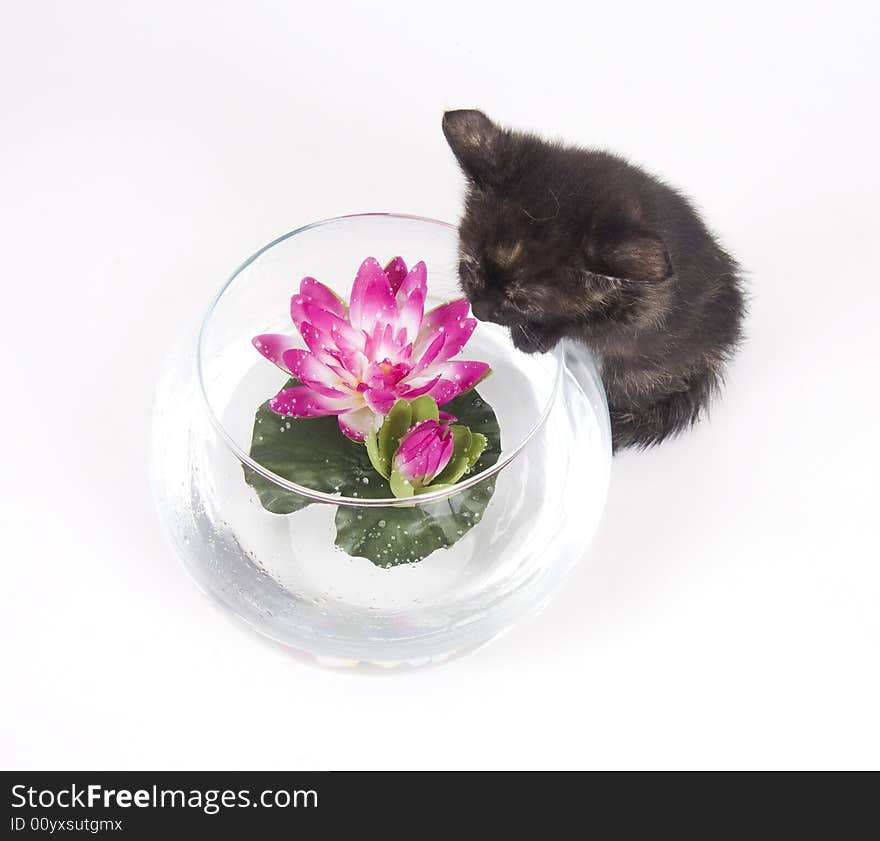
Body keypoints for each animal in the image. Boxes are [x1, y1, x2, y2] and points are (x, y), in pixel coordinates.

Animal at [444, 111, 744, 452]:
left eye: (521, 301)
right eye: (470, 269)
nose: (480, 311)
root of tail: (717, 352)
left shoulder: (648, 309)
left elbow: (596, 325)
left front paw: (537, 335)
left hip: (642, 370)